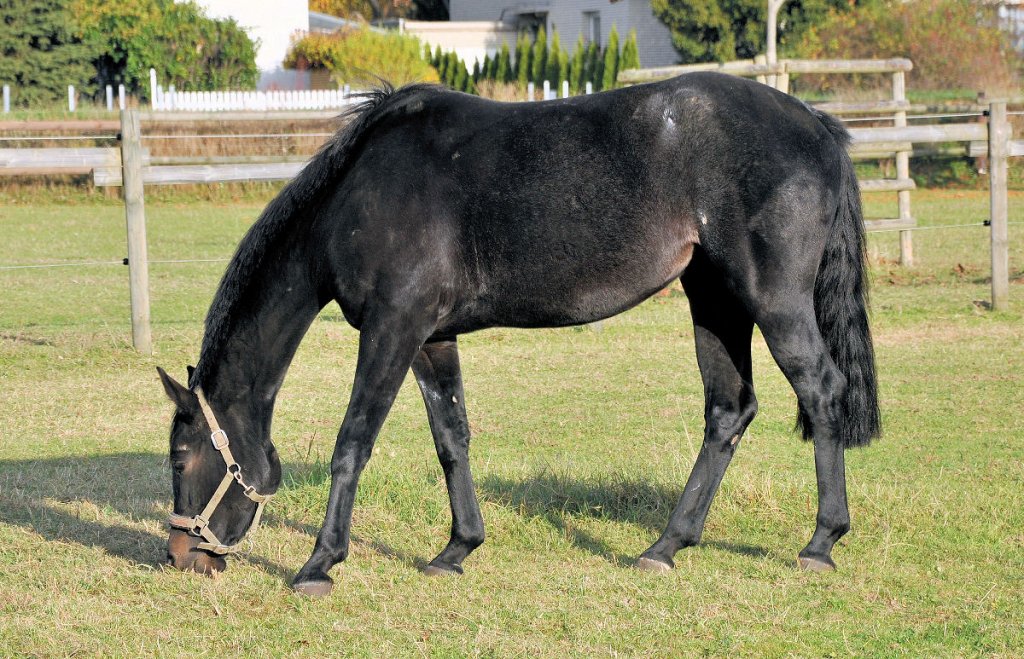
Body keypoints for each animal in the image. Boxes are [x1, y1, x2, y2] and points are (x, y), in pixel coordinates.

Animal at [155, 73, 876, 597]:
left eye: (180, 458)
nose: (182, 554)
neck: (361, 191)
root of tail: (815, 125)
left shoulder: (392, 327)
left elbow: (352, 442)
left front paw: (318, 564)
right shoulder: (430, 338)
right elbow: (452, 439)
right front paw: (456, 549)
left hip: (772, 298)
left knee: (820, 389)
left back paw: (821, 542)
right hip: (715, 299)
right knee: (729, 409)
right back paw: (665, 547)